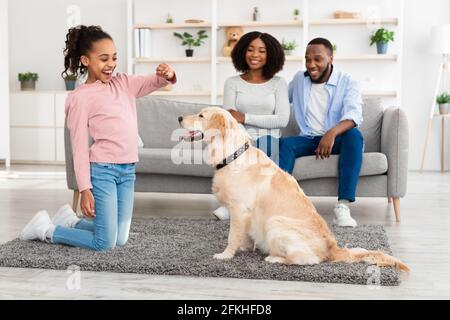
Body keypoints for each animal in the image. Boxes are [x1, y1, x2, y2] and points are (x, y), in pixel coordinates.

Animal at [178, 106, 408, 272]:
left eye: (201, 115)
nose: (179, 117)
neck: (232, 154)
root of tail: (332, 249)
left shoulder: (239, 209)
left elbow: (232, 236)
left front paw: (225, 255)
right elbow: (243, 235)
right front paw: (244, 247)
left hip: (275, 223)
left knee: (308, 260)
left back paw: (275, 258)